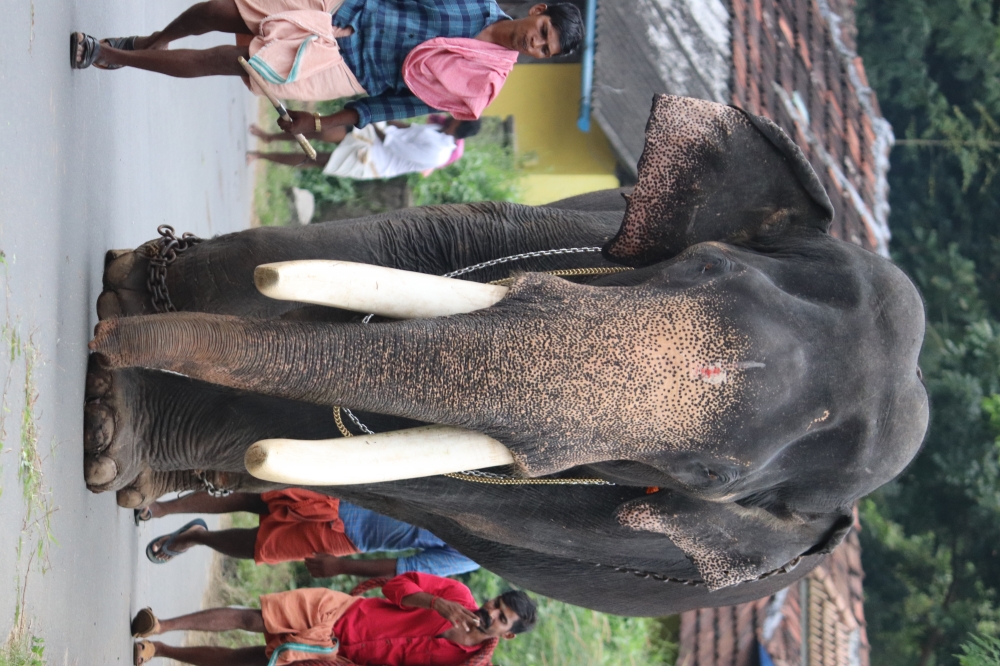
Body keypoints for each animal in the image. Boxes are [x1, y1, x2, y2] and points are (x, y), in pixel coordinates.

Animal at [83, 95, 928, 616]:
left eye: (708, 477)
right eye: (702, 266)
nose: (101, 342)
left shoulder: (562, 517)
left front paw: (112, 420)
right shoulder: (565, 225)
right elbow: (394, 243)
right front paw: (124, 325)